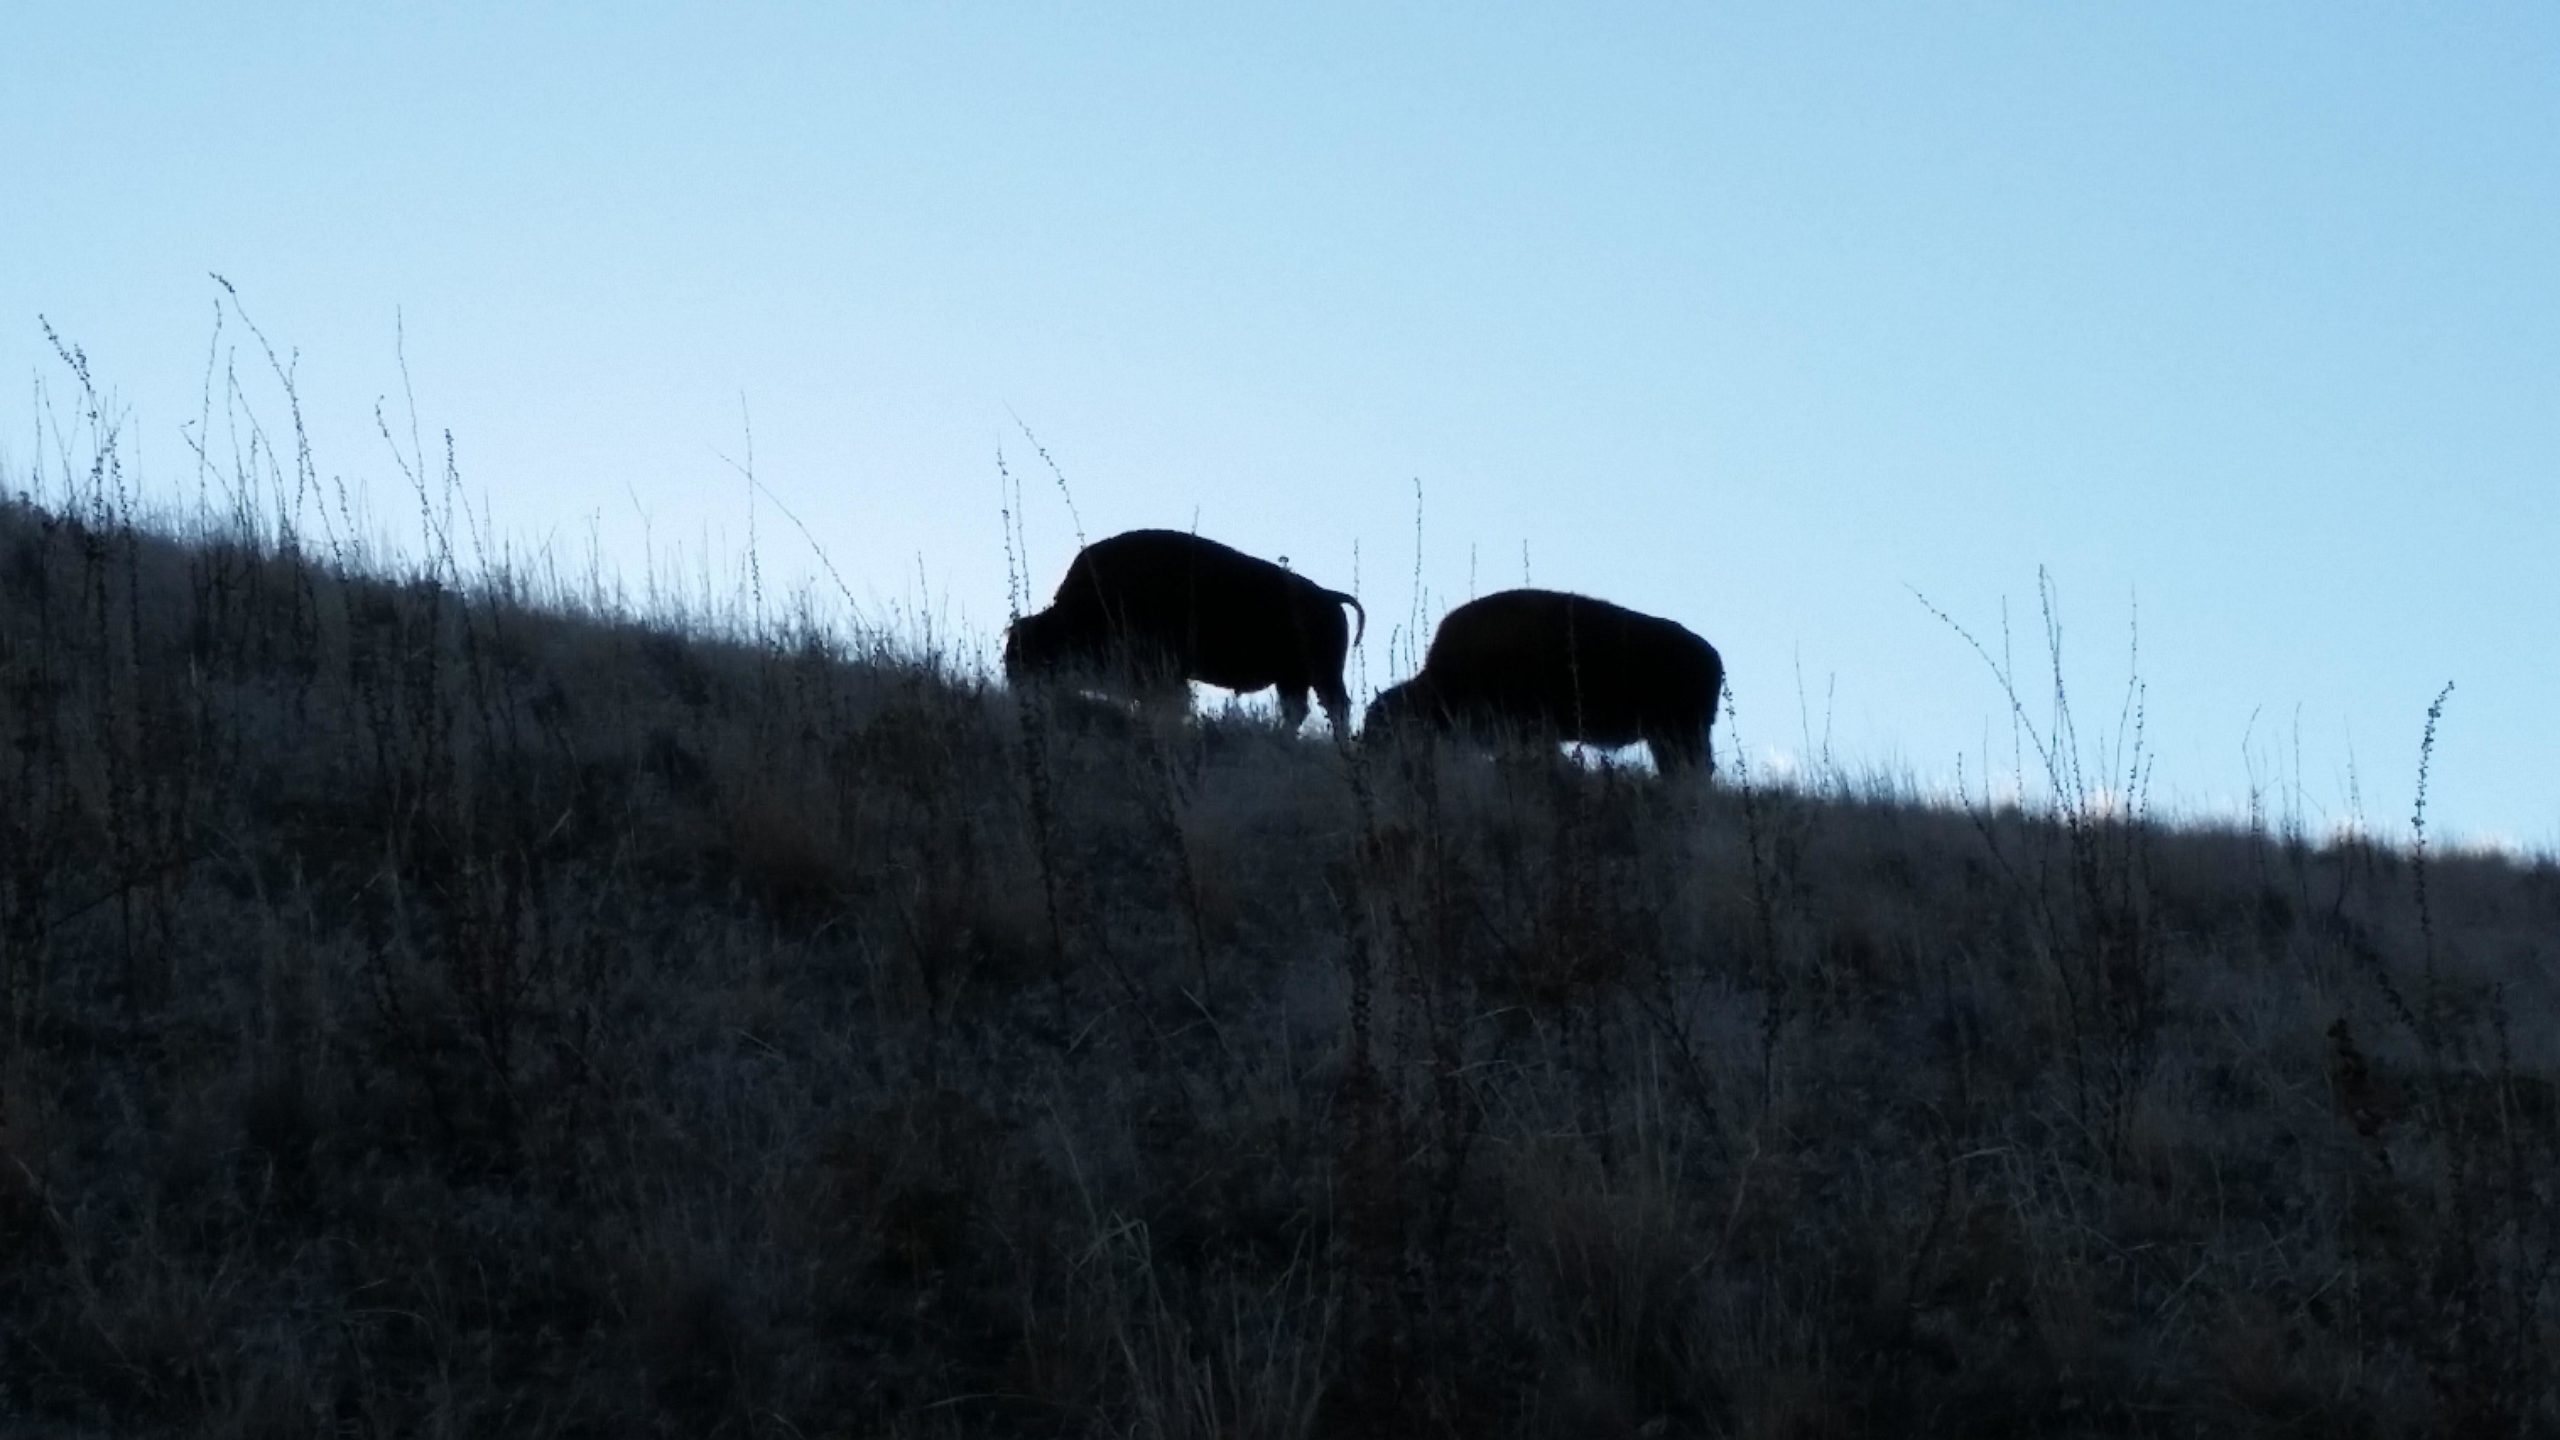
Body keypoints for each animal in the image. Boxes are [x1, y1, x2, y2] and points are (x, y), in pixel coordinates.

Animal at [1005, 529, 1368, 738]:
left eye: (1028, 655)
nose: (1016, 690)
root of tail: (1329, 596)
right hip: (1293, 679)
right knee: (1299, 710)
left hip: (1320, 677)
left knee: (1334, 708)